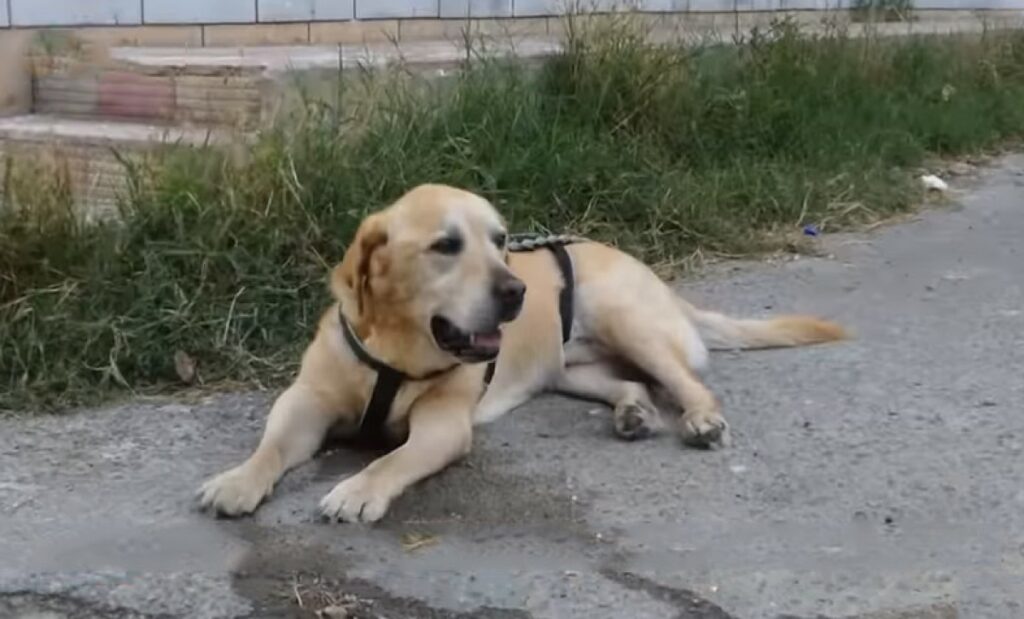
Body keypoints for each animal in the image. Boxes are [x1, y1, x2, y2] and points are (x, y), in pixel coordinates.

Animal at [195, 182, 843, 522]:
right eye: (446, 245)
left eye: (501, 239)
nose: (516, 291)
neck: (398, 345)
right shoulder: (305, 403)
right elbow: (272, 445)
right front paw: (238, 480)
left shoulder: (443, 425)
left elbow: (392, 460)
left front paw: (358, 489)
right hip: (569, 369)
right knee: (631, 383)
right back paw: (633, 413)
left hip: (628, 320)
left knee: (688, 382)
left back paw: (703, 420)